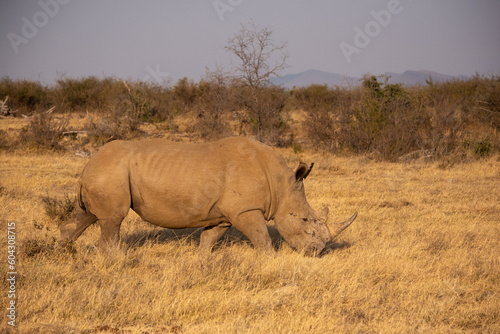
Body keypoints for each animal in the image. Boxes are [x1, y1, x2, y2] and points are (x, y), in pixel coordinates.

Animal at [59, 137, 356, 254]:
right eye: (305, 221)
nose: (317, 251)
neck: (281, 184)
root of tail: (87, 163)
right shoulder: (246, 209)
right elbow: (262, 238)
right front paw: (271, 260)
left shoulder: (225, 214)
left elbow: (209, 239)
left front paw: (202, 260)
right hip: (110, 172)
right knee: (112, 220)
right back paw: (113, 259)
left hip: (102, 173)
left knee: (85, 216)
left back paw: (62, 251)